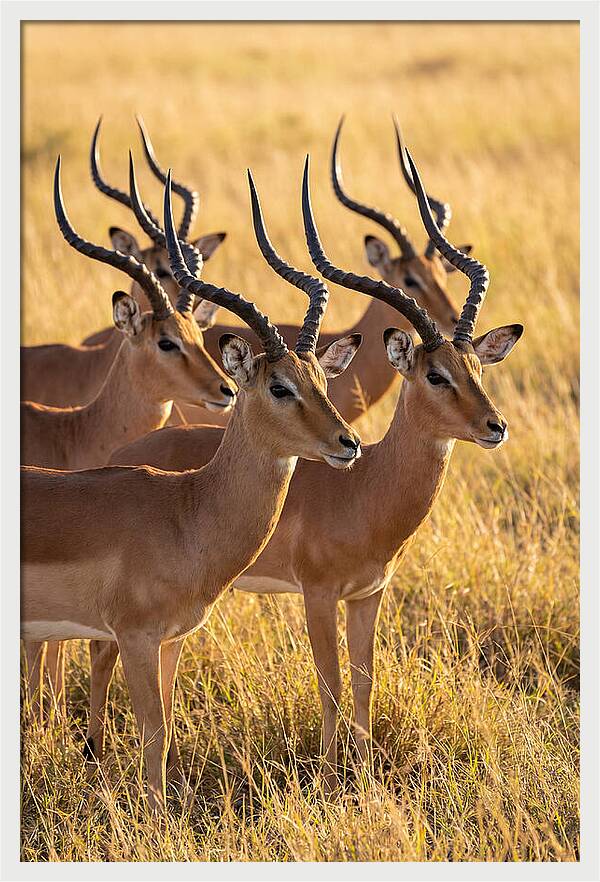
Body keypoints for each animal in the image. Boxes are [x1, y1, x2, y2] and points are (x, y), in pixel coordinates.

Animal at [99, 152, 522, 795]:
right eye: (435, 374)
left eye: (476, 367)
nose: (495, 427)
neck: (365, 488)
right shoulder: (318, 594)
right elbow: (330, 684)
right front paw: (328, 778)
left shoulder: (369, 595)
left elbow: (365, 683)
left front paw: (366, 774)